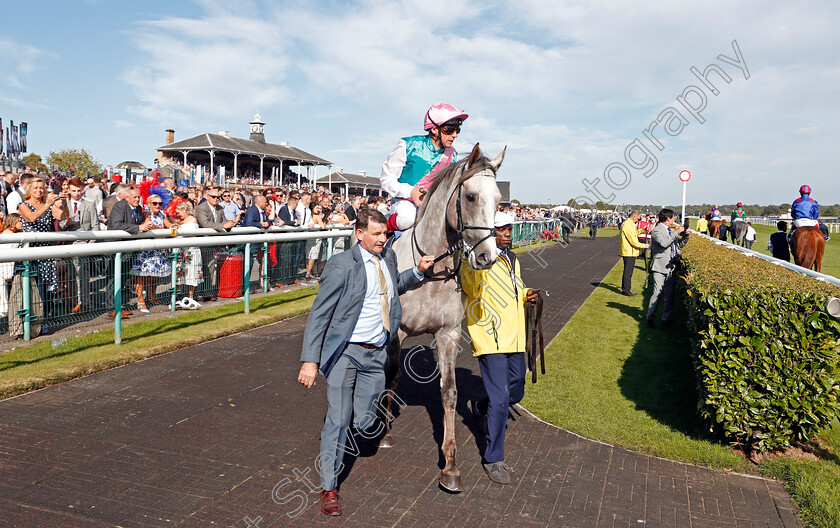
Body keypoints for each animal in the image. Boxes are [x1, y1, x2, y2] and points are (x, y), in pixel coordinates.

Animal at [378, 143, 502, 490]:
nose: (488, 256)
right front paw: (384, 431)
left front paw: (450, 464)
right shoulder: (398, 331)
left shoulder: (448, 332)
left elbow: (449, 392)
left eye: (499, 199)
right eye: (470, 196)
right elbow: (391, 375)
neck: (431, 270)